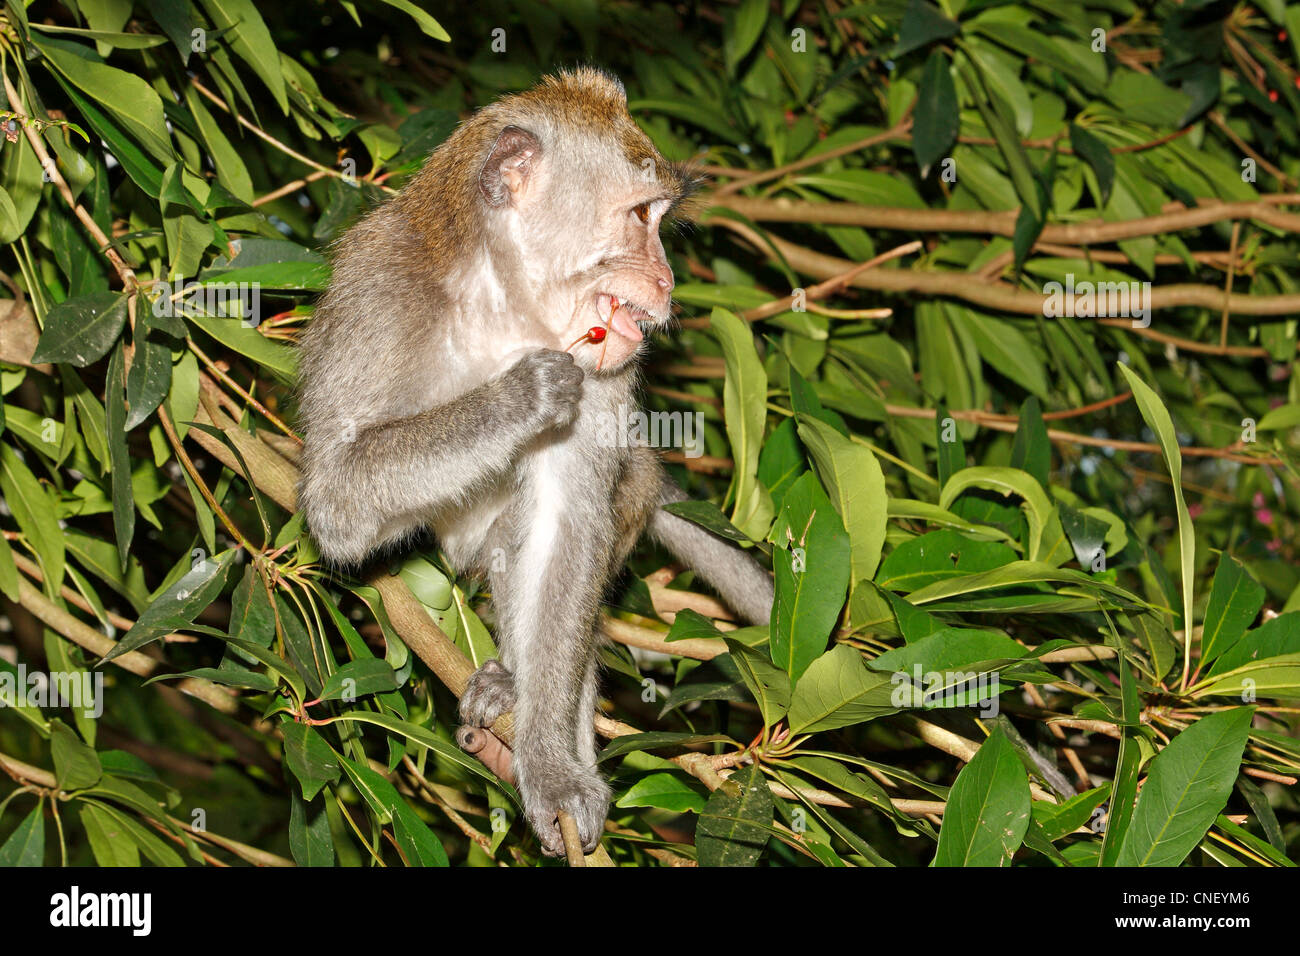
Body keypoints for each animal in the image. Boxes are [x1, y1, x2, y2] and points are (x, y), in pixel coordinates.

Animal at [296, 68, 774, 856]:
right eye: (639, 216)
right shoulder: (379, 296)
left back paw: (514, 699)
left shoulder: (608, 369)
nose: (667, 281)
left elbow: (564, 529)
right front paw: (519, 397)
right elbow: (337, 501)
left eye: (659, 220)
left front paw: (550, 769)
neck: (502, 305)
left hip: (630, 492)